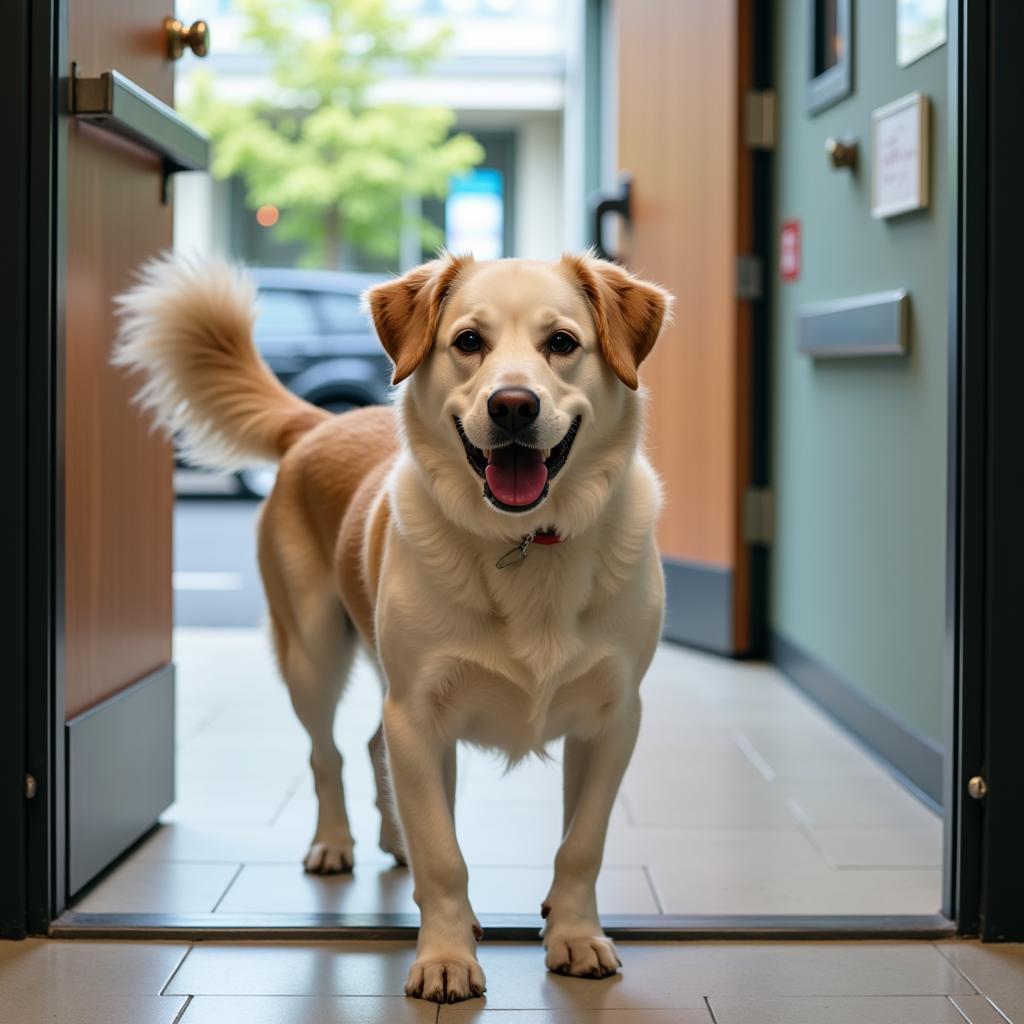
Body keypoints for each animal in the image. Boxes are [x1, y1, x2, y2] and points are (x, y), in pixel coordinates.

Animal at [114, 251, 671, 1003]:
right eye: (468, 341)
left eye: (562, 342)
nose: (513, 405)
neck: (527, 539)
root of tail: (320, 423)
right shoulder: (419, 712)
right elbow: (444, 856)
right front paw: (446, 955)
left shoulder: (613, 720)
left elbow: (582, 843)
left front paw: (575, 935)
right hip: (313, 655)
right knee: (329, 755)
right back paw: (335, 843)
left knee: (378, 751)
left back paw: (395, 837)